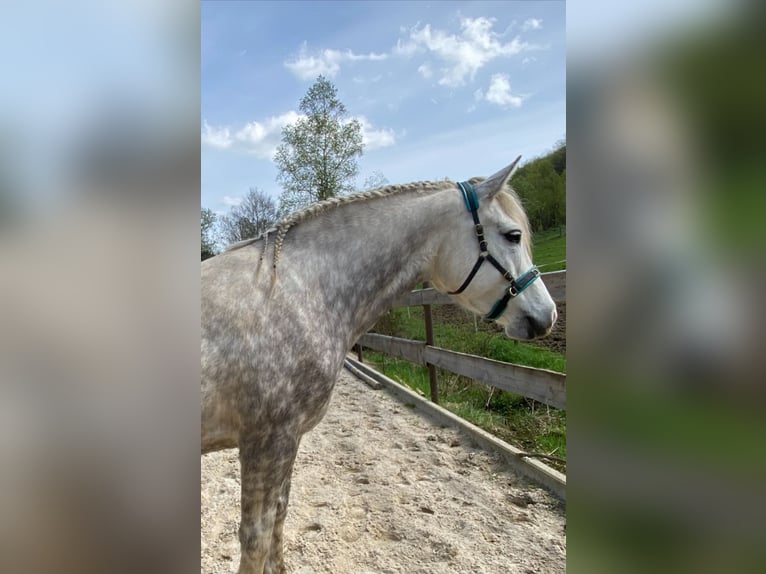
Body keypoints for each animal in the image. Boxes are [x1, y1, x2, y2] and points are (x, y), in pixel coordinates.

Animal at [201, 159, 556, 574]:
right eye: (513, 235)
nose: (546, 316)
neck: (294, 291)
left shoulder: (288, 440)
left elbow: (279, 518)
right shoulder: (267, 440)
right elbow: (256, 538)